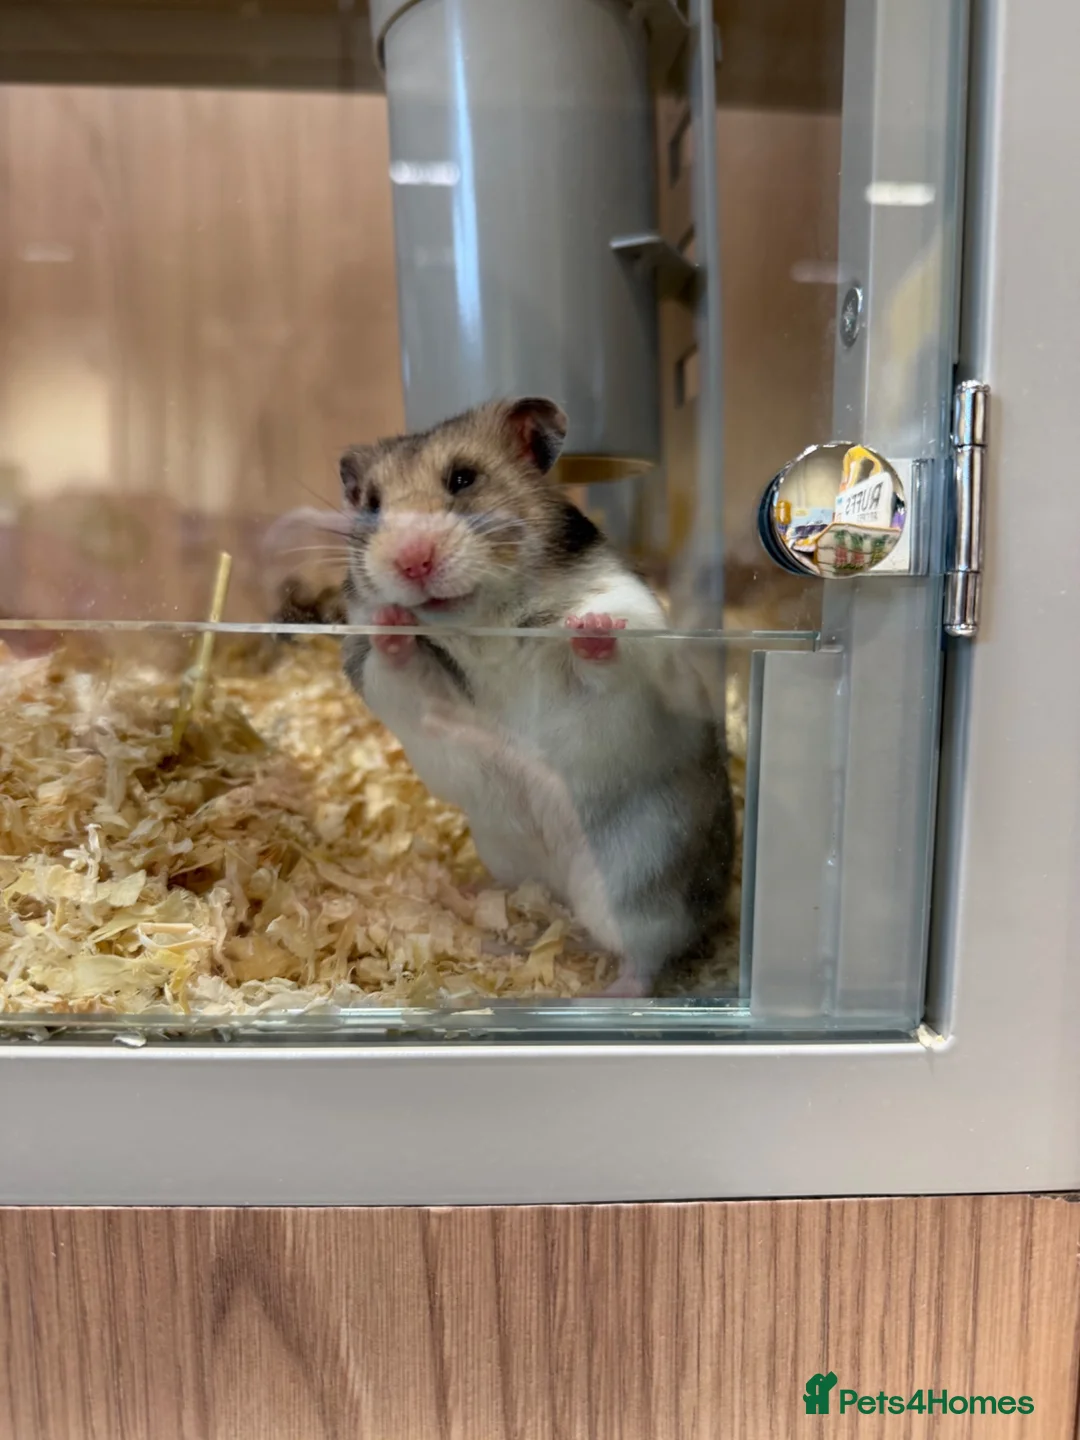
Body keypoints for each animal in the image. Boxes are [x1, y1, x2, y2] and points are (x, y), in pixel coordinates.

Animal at [339, 396, 734, 997]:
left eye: (463, 478)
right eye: (372, 504)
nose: (412, 561)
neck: (483, 620)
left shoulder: (630, 638)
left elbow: (608, 652)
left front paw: (589, 625)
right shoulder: (398, 684)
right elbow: (396, 665)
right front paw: (391, 620)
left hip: (638, 881)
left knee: (650, 951)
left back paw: (608, 998)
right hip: (507, 857)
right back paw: (473, 908)